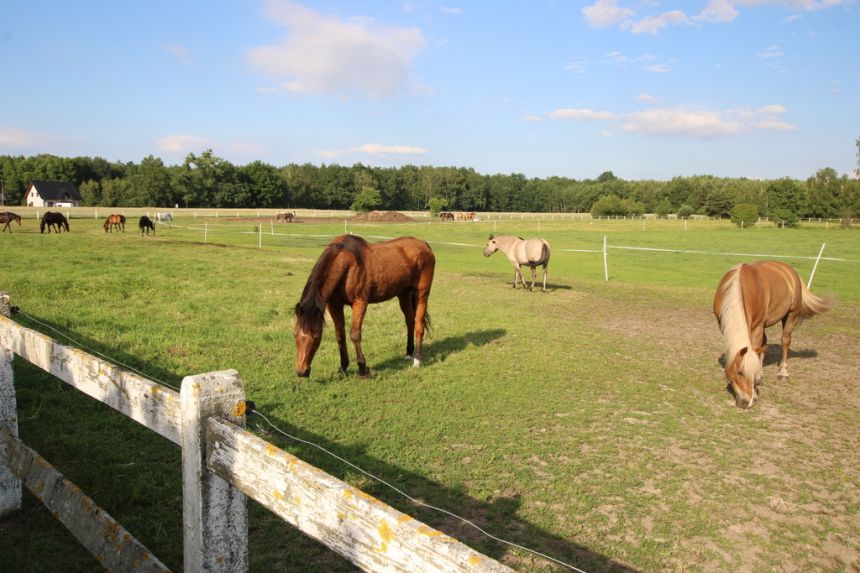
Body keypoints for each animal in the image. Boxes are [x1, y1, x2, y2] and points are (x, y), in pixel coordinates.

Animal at [294, 235, 436, 378]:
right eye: (295, 335)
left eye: (316, 337)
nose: (301, 372)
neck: (346, 265)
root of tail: (425, 245)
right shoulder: (334, 305)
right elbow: (340, 335)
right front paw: (343, 367)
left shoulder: (360, 303)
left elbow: (355, 334)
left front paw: (362, 368)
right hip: (404, 294)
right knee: (410, 321)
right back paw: (408, 353)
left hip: (422, 294)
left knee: (419, 325)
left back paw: (417, 360)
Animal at [712, 262, 832, 408]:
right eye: (740, 372)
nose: (747, 402)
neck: (741, 286)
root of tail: (789, 270)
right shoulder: (723, 325)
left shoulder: (757, 327)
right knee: (764, 344)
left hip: (790, 315)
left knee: (785, 340)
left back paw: (783, 372)